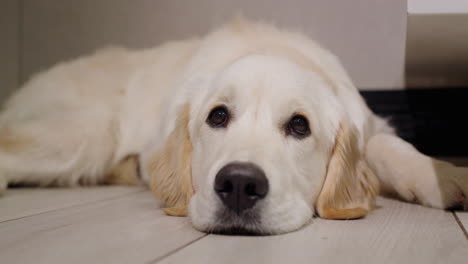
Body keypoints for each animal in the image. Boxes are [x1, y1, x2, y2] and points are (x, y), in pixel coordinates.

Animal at [0, 19, 468, 235]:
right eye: (218, 116)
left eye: (299, 125)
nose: (240, 185)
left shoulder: (368, 123)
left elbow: (390, 148)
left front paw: (445, 176)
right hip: (84, 136)